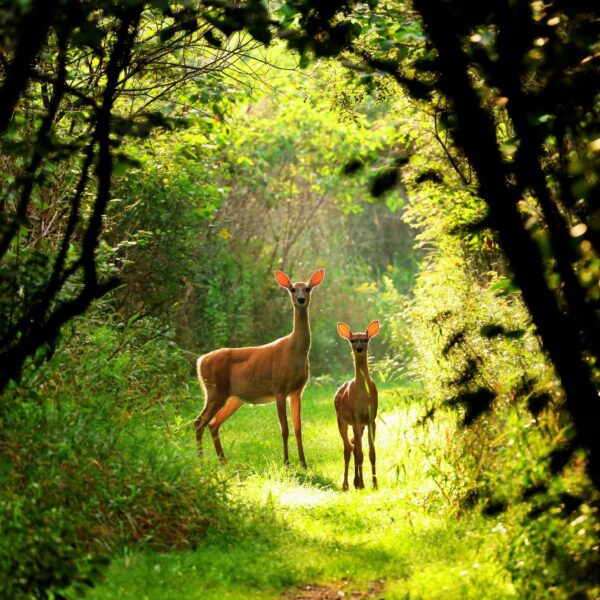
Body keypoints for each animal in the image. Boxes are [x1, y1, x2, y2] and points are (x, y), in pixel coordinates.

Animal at [193, 268, 326, 468]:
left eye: (308, 288)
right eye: (293, 289)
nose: (301, 299)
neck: (295, 351)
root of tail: (200, 361)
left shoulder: (297, 391)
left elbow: (298, 427)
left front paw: (303, 463)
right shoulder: (279, 388)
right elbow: (284, 428)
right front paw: (286, 463)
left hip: (233, 397)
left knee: (213, 423)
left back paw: (223, 462)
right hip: (215, 390)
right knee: (199, 422)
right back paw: (201, 463)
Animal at [332, 322, 380, 490]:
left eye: (365, 339)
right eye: (352, 340)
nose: (359, 348)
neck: (363, 396)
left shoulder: (371, 419)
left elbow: (372, 453)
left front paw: (375, 484)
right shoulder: (356, 417)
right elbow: (360, 453)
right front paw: (363, 484)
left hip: (357, 424)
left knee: (353, 446)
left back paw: (356, 482)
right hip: (341, 420)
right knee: (348, 448)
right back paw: (347, 484)